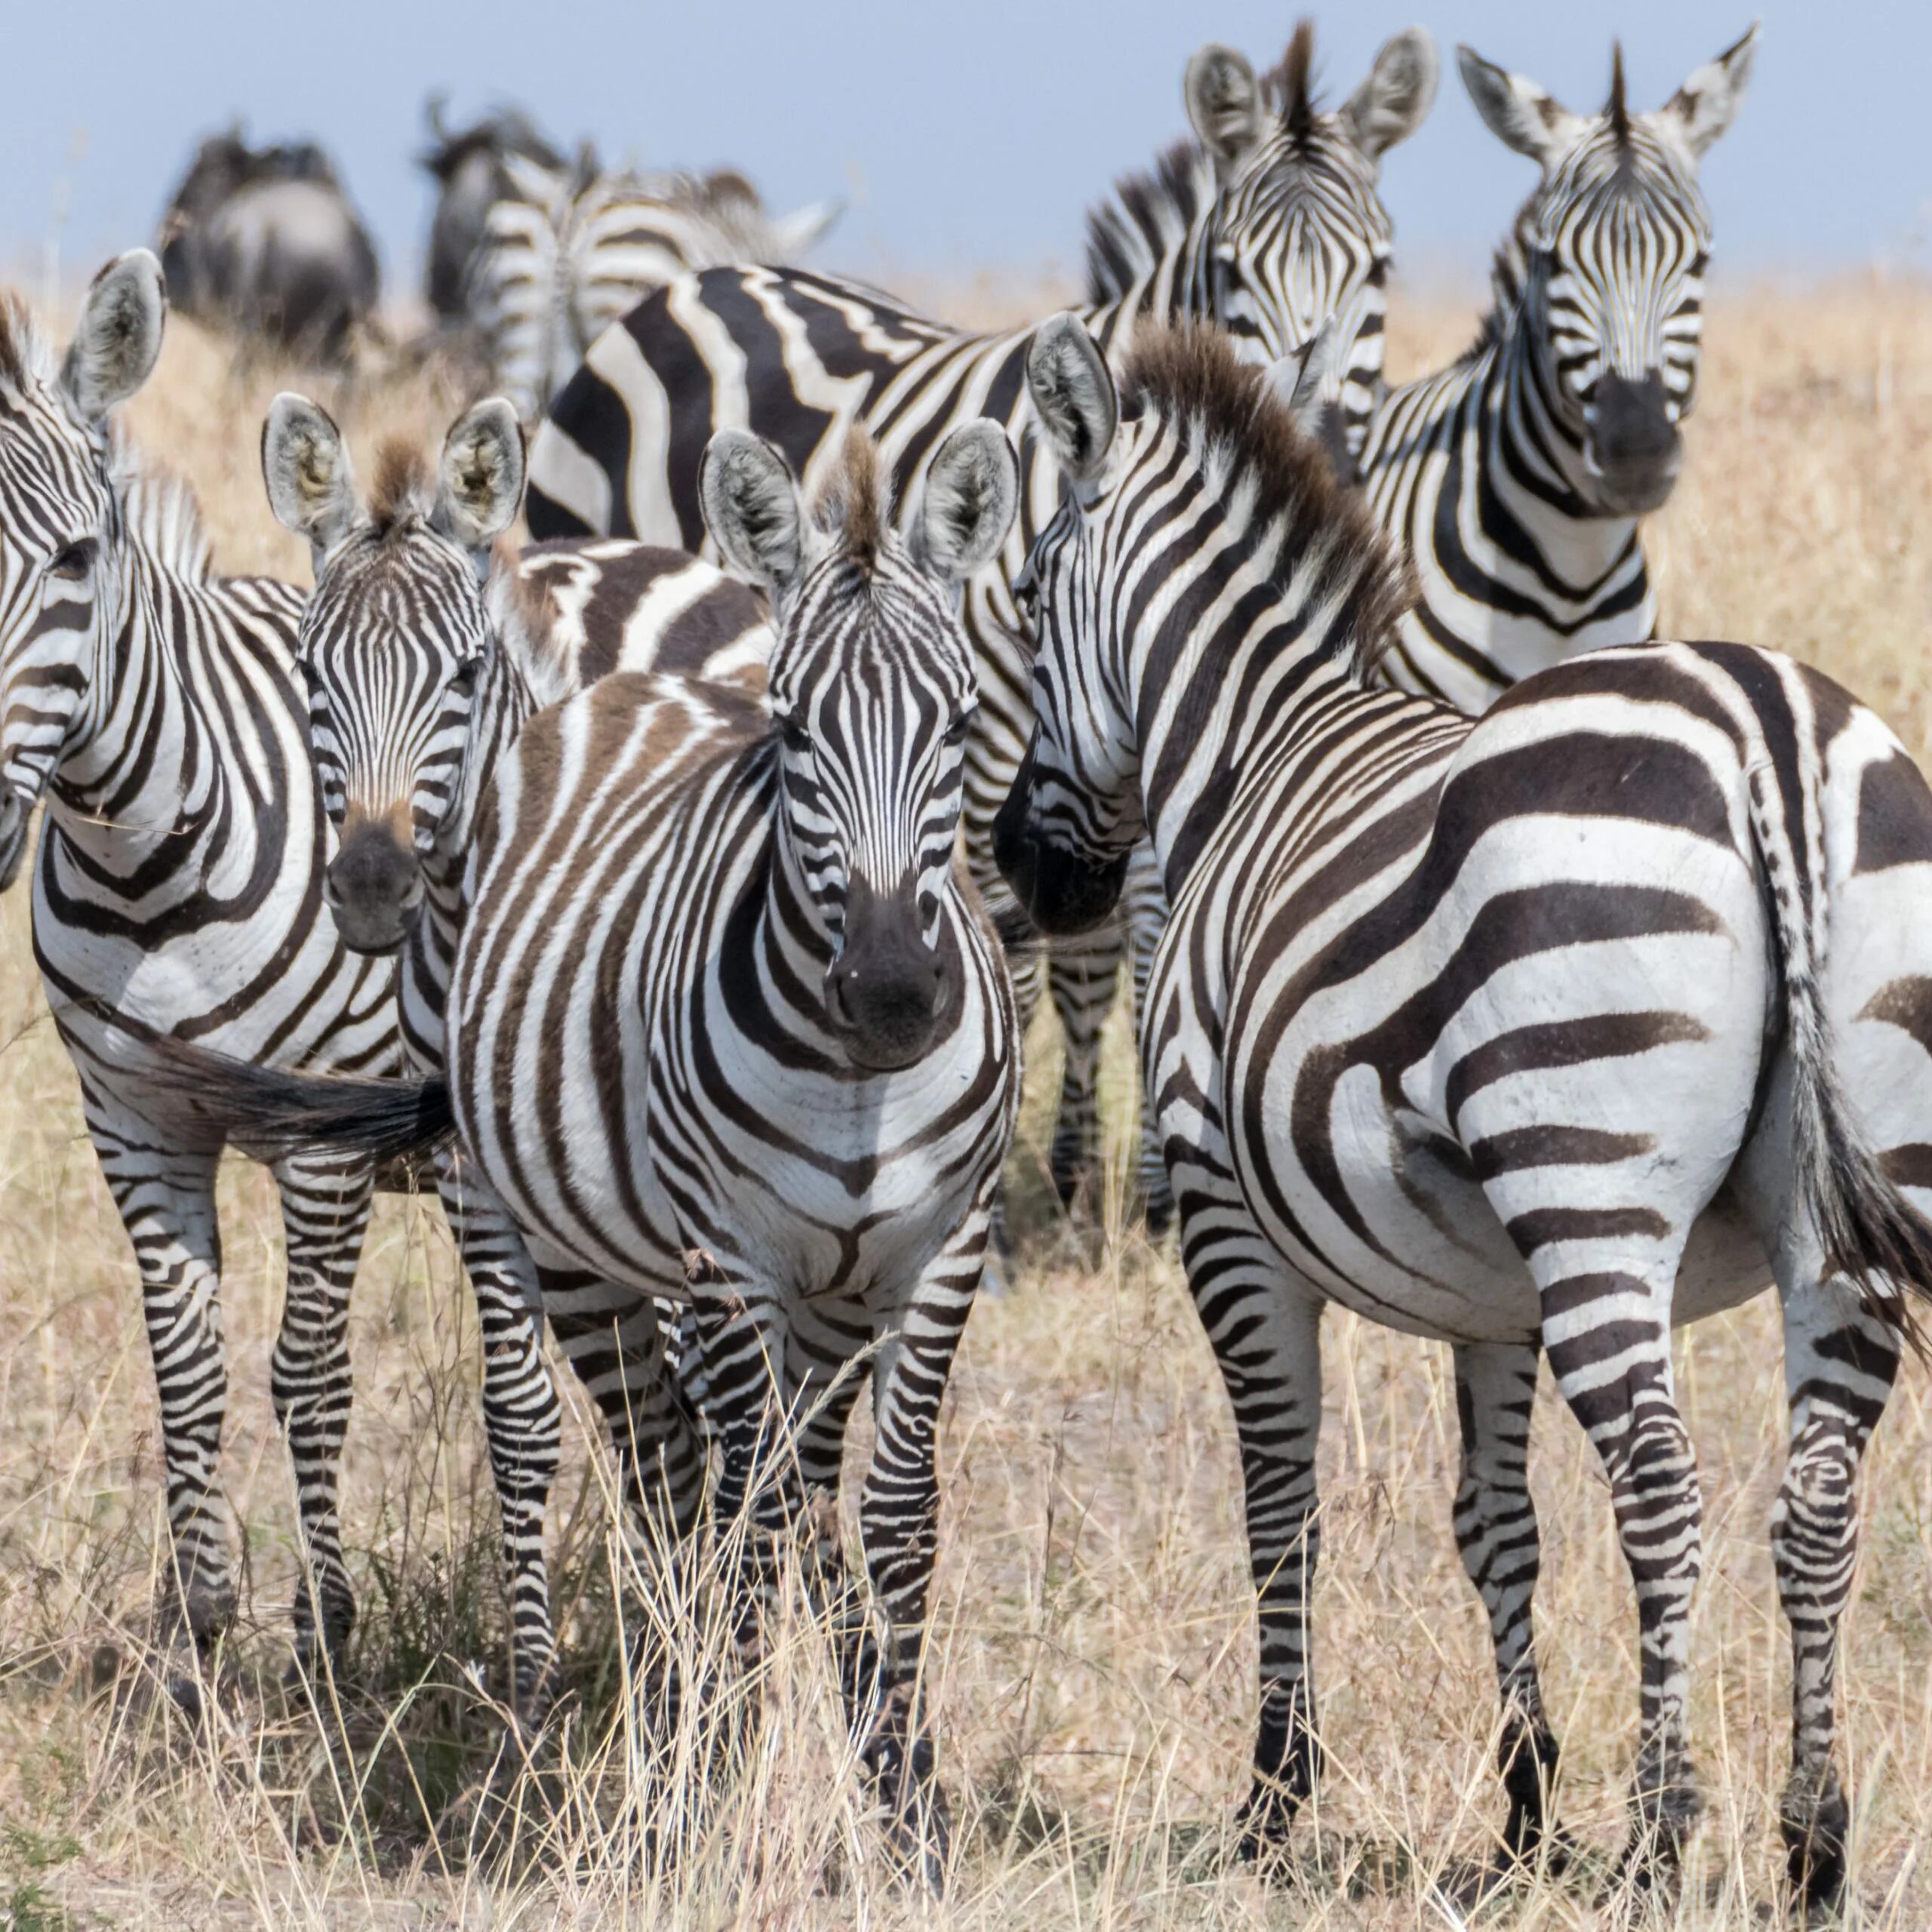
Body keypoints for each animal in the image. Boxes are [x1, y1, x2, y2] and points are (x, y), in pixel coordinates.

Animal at [122, 419, 1027, 1870]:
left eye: (954, 724)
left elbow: (885, 1516)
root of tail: (628, 690)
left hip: (808, 1290)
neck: (855, 1076)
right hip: (557, 1231)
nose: (894, 990)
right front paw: (726, 1777)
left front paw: (906, 1800)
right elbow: (749, 1511)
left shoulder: (942, 1251)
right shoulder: (730, 1262)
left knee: (737, 1473)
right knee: (642, 1456)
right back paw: (616, 1732)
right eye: (794, 729)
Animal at [525, 23, 1437, 1229]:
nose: (1323, 462)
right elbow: (1030, 952)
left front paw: (1127, 1185)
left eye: (1380, 269)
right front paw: (1023, 1185)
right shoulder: (1010, 727)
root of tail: (698, 281)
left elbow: (1137, 935)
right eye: (1234, 267)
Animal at [1004, 309, 1932, 1909]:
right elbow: (1496, 1528)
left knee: (1664, 1494)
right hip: (1849, 1207)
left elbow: (1280, 1506)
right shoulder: (1491, 1292)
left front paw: (1276, 1798)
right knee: (1817, 1505)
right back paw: (1812, 1842)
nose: (1026, 873)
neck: (1249, 753)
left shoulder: (1221, 1219)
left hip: (1590, 1183)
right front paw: (1522, 1811)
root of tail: (1764, 727)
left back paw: (1662, 1833)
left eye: (1021, 602)